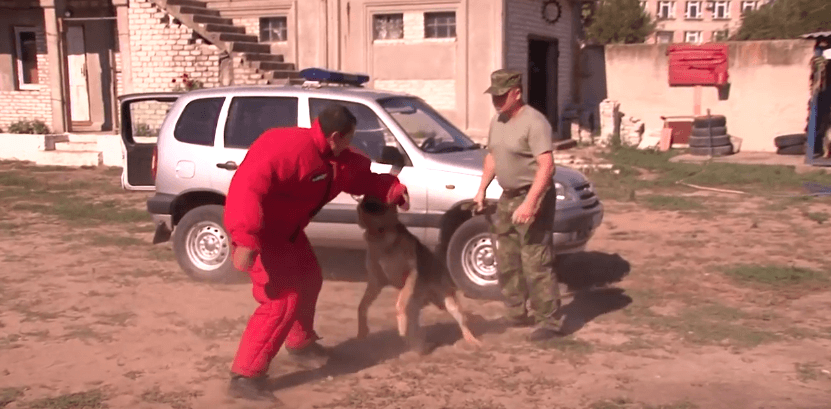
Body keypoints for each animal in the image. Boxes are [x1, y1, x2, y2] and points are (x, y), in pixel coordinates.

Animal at [356, 196, 484, 352]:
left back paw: (471, 340)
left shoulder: (410, 274)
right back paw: (420, 345)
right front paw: (362, 331)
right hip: (420, 307)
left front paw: (401, 325)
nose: (364, 200)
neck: (381, 235)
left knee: (462, 322)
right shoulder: (376, 282)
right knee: (415, 330)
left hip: (450, 304)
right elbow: (361, 306)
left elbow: (399, 304)